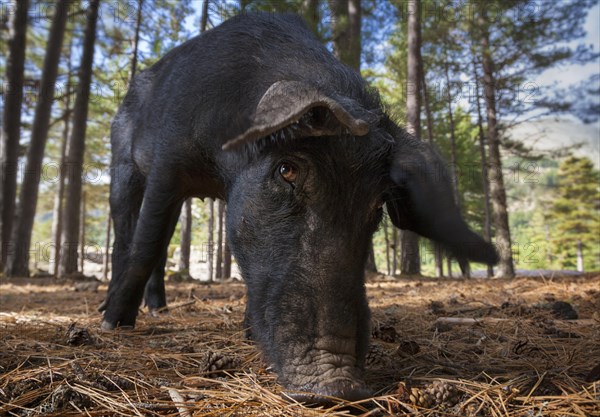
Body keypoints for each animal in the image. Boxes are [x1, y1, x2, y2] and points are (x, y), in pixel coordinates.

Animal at [101, 12, 500, 404]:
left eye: (377, 203)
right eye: (287, 169)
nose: (338, 387)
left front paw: (248, 334)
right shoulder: (168, 163)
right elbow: (145, 245)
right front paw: (115, 325)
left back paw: (160, 309)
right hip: (121, 162)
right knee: (127, 235)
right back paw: (114, 314)